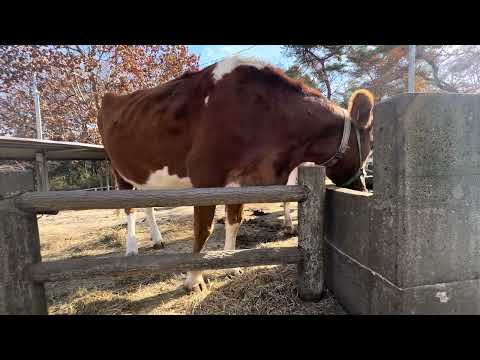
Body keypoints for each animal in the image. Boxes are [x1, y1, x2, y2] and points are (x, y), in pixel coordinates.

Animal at [97, 56, 376, 292]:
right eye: (371, 145)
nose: (363, 188)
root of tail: (112, 96)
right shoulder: (205, 175)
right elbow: (203, 229)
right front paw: (194, 279)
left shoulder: (242, 180)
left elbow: (234, 222)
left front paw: (231, 265)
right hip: (117, 168)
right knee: (130, 208)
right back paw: (131, 248)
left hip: (144, 174)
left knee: (147, 203)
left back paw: (157, 239)